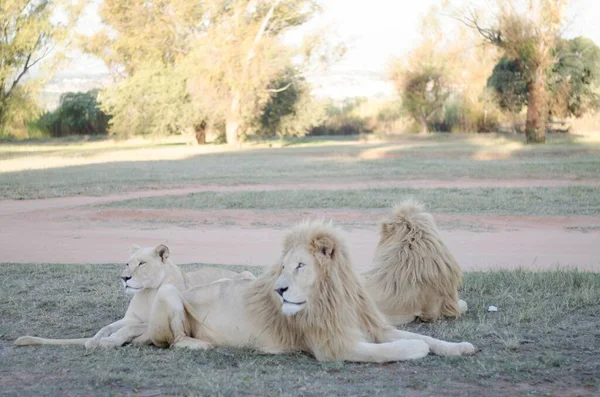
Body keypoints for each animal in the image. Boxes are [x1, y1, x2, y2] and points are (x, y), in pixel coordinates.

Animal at [13, 243, 253, 348]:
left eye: (142, 263)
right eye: (127, 263)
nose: (124, 278)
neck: (146, 292)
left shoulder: (146, 322)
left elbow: (128, 329)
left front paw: (110, 341)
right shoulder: (130, 318)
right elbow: (107, 327)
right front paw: (95, 339)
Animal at [134, 220, 476, 362]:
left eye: (299, 266)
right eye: (283, 267)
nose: (280, 289)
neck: (332, 295)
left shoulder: (372, 326)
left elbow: (427, 338)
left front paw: (460, 347)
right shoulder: (333, 347)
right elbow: (400, 349)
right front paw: (417, 348)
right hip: (168, 293)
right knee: (173, 341)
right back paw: (200, 344)